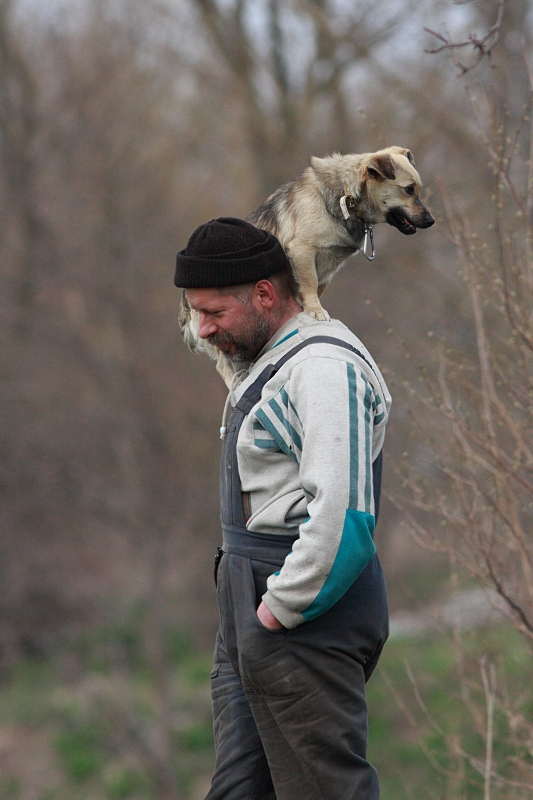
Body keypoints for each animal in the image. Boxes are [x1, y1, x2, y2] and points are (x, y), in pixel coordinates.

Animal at [179, 148, 432, 390]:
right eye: (408, 189)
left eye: (417, 189)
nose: (431, 220)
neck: (345, 196)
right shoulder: (302, 251)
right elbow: (309, 285)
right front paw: (316, 311)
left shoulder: (328, 269)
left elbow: (312, 290)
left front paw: (308, 310)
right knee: (223, 366)